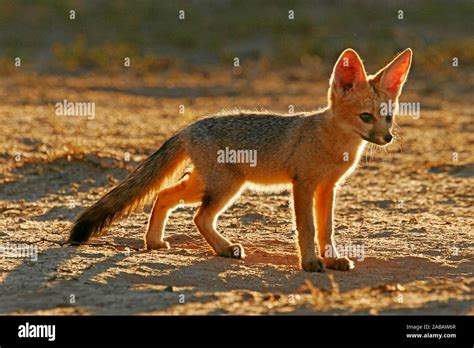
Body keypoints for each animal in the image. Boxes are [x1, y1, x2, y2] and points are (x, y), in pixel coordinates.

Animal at [69, 48, 412, 272]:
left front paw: (331, 259)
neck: (332, 143)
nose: (387, 138)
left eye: (388, 117)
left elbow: (326, 229)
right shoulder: (303, 185)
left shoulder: (328, 188)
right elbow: (307, 228)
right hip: (226, 187)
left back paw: (155, 242)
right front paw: (310, 262)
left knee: (164, 195)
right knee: (198, 216)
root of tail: (189, 126)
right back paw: (223, 248)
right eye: (366, 117)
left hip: (208, 185)